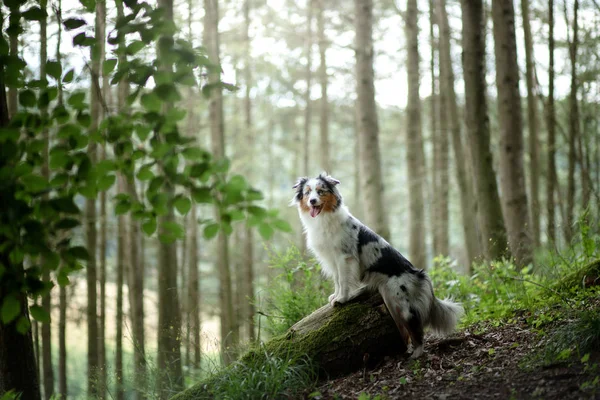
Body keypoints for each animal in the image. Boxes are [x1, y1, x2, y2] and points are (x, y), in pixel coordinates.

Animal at [292, 173, 462, 358]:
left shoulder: (345, 257)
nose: (312, 201)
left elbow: (344, 280)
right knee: (404, 330)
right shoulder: (332, 259)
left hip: (403, 305)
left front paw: (342, 299)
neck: (324, 218)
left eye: (321, 191)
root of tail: (421, 275)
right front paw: (335, 296)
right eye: (307, 193)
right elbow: (337, 280)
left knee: (417, 329)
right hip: (390, 301)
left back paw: (416, 354)